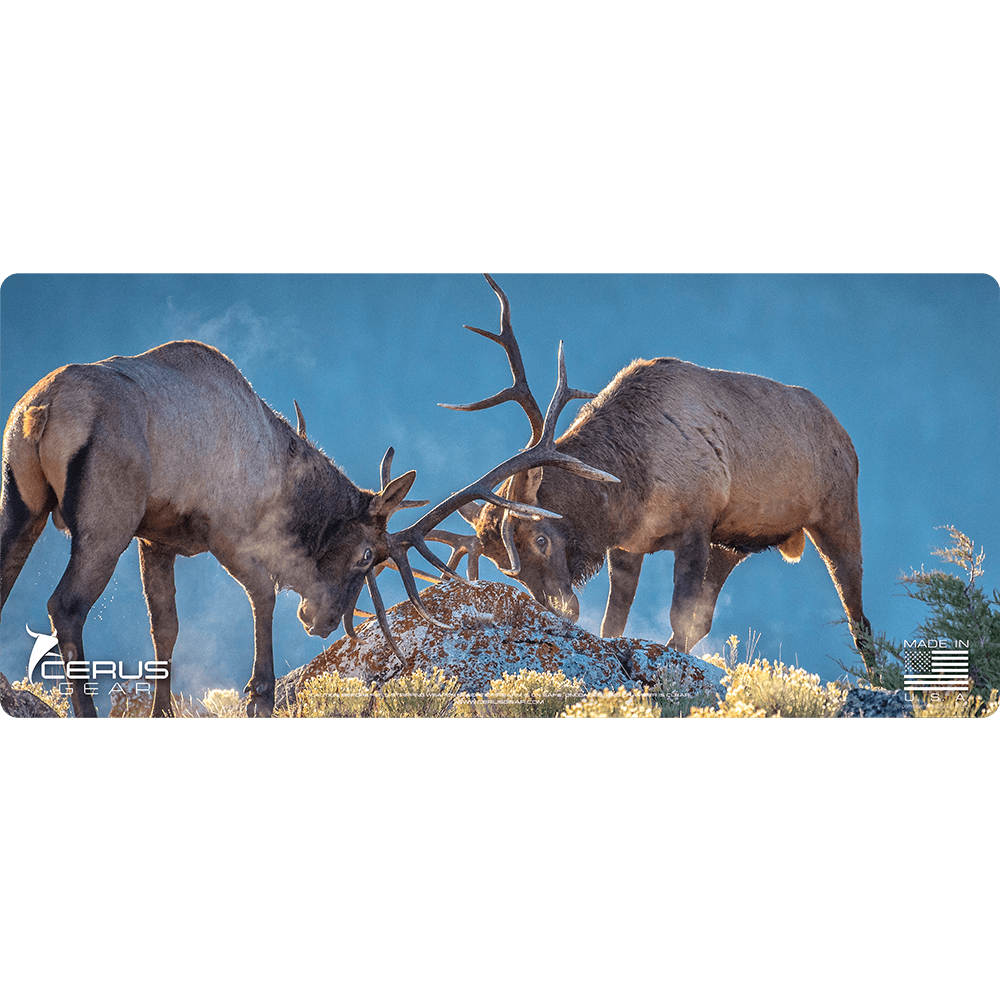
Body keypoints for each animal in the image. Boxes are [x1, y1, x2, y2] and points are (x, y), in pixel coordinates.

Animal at [1, 337, 616, 717]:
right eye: (367, 555)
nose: (320, 622)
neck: (284, 477)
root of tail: (39, 412)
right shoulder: (229, 532)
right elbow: (263, 600)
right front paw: (260, 696)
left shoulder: (157, 538)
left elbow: (166, 629)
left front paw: (163, 711)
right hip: (106, 517)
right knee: (65, 605)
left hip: (21, 504)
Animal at [435, 273, 876, 677]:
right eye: (501, 565)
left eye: (541, 538)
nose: (561, 609)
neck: (629, 486)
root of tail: (847, 437)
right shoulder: (629, 546)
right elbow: (615, 623)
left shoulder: (696, 524)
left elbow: (678, 615)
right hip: (730, 545)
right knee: (707, 619)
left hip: (836, 514)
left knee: (860, 620)